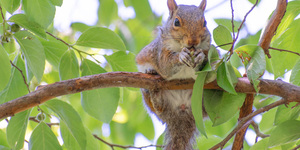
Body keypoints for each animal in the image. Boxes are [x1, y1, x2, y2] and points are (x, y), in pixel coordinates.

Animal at [136, 0, 211, 149]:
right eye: (176, 22)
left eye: (205, 22)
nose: (193, 42)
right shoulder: (161, 51)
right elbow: (166, 66)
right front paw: (181, 56)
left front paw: (200, 56)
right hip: (148, 95)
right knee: (159, 108)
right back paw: (155, 90)